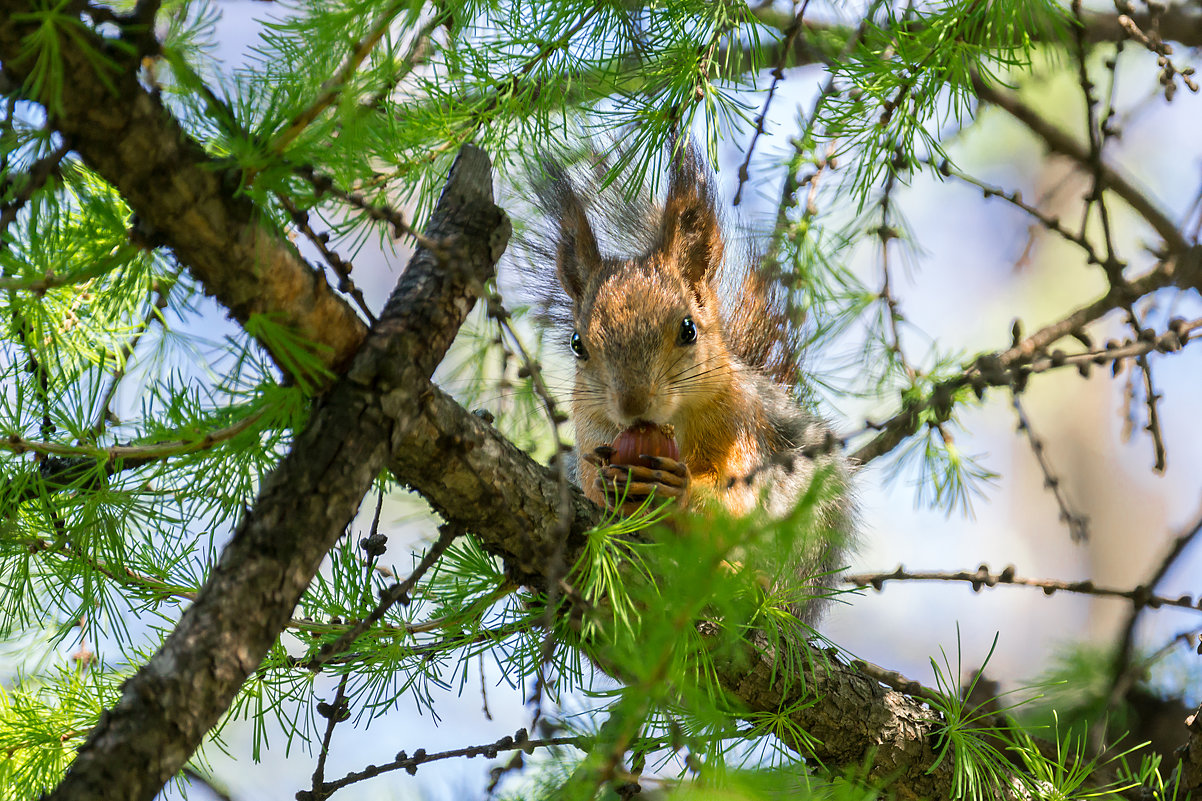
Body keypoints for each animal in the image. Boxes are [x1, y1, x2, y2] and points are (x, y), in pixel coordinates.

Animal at [521, 140, 851, 620]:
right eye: (577, 344)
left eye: (688, 329)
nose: (633, 405)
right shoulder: (591, 429)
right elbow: (589, 489)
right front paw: (604, 482)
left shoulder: (740, 427)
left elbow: (737, 506)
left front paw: (679, 487)